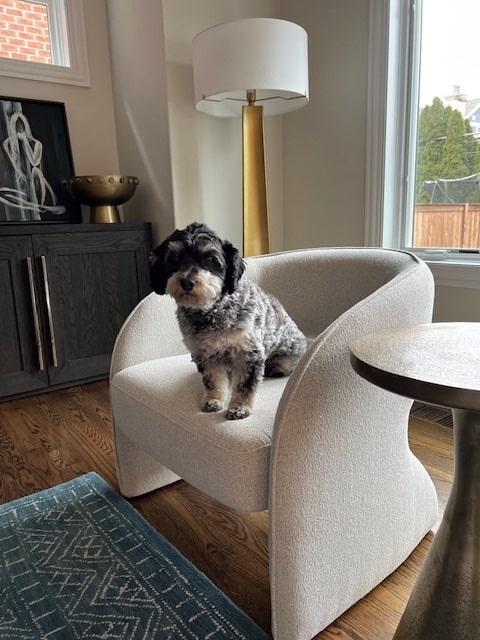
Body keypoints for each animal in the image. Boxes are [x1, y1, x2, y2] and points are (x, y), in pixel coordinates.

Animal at [150, 221, 308, 420]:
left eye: (211, 259)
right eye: (174, 258)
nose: (186, 282)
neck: (211, 312)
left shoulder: (249, 353)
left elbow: (244, 386)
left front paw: (239, 407)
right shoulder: (205, 354)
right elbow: (214, 380)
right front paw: (214, 399)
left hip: (289, 351)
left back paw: (277, 367)